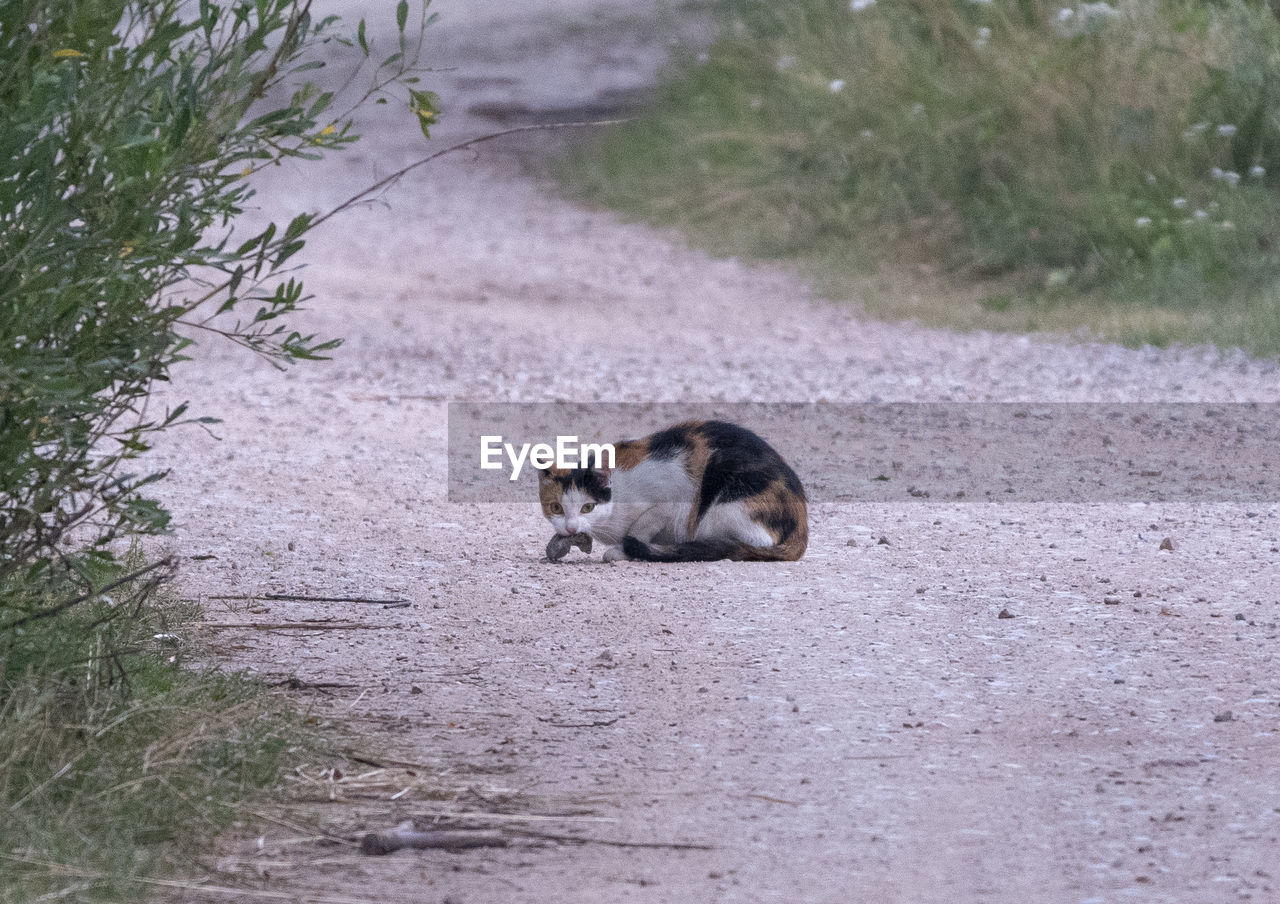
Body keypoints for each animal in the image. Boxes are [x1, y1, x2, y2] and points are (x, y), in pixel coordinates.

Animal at [535, 419, 803, 560]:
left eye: (588, 507)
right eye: (556, 507)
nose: (571, 528)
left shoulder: (671, 501)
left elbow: (640, 528)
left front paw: (622, 551)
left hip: (724, 506)